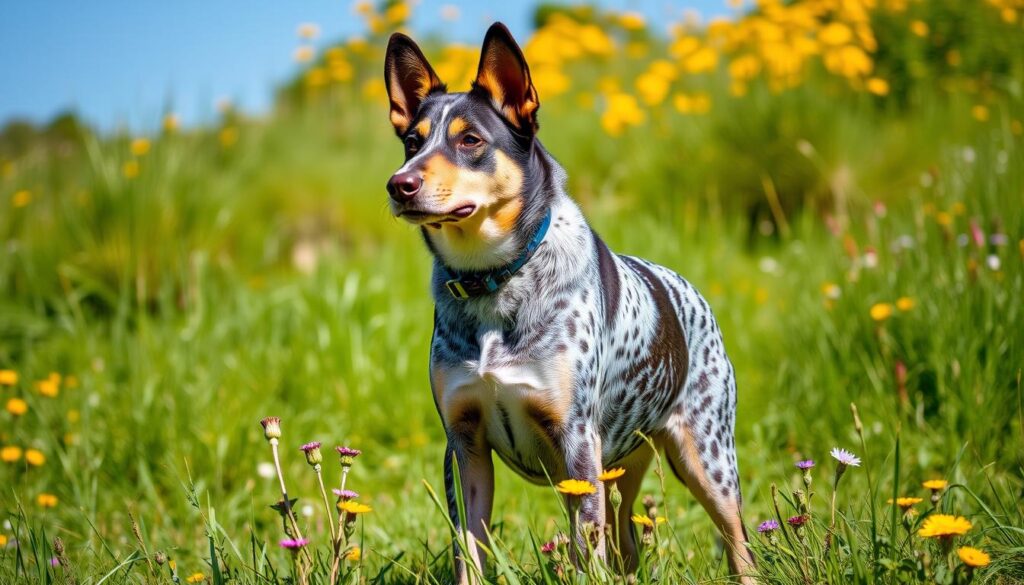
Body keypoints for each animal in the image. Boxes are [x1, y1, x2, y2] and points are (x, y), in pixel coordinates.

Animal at [382, 21, 753, 581]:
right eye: (411, 142)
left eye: (470, 140)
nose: (399, 184)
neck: (495, 281)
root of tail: (687, 288)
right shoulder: (464, 446)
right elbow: (468, 547)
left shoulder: (576, 440)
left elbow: (585, 549)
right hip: (620, 467)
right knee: (625, 537)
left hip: (706, 458)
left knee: (736, 538)